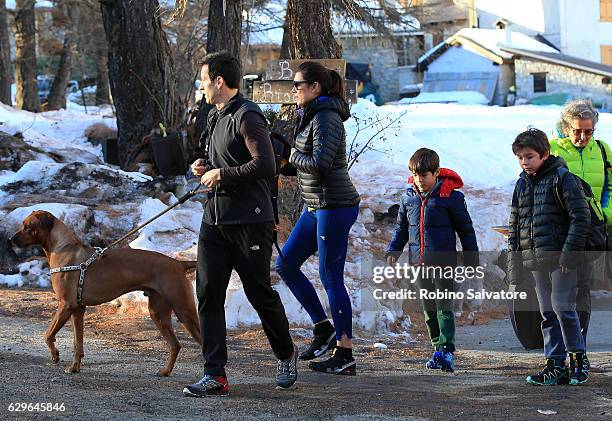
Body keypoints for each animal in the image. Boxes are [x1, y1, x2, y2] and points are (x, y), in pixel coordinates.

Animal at [10, 209, 201, 374]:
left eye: (28, 226)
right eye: (23, 224)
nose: (11, 240)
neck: (64, 247)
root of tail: (179, 264)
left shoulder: (65, 305)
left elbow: (48, 334)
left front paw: (55, 355)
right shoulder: (77, 309)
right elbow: (77, 344)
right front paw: (74, 367)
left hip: (184, 311)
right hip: (158, 312)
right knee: (175, 345)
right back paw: (166, 371)